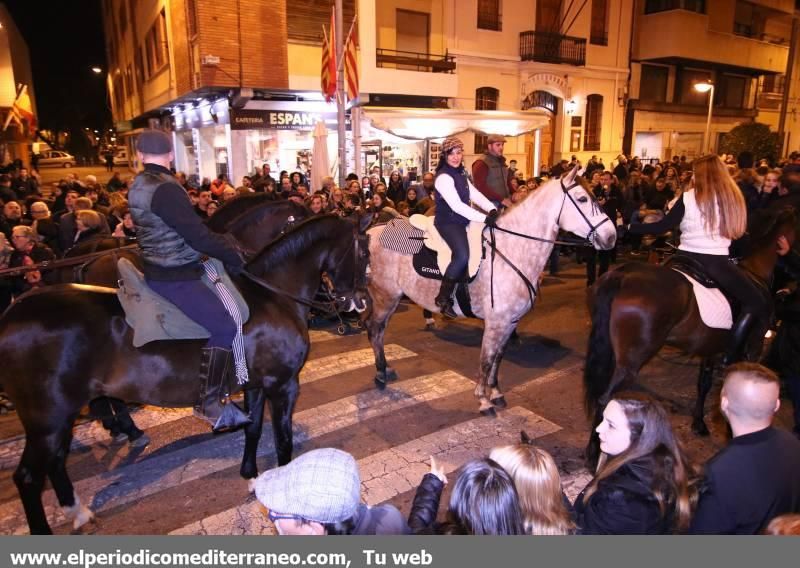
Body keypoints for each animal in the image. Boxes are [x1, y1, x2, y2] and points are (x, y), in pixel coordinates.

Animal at [1, 212, 372, 532]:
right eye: (365, 252)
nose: (362, 303)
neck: (271, 295)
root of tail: (12, 314)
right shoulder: (283, 385)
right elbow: (283, 440)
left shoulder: (256, 384)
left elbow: (253, 428)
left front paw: (251, 476)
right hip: (47, 419)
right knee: (28, 477)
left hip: (59, 417)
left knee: (56, 460)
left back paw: (77, 510)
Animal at [584, 209, 796, 462]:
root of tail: (623, 275)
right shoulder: (751, 350)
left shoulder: (711, 349)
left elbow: (703, 384)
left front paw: (699, 423)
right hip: (631, 363)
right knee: (605, 398)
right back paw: (596, 452)